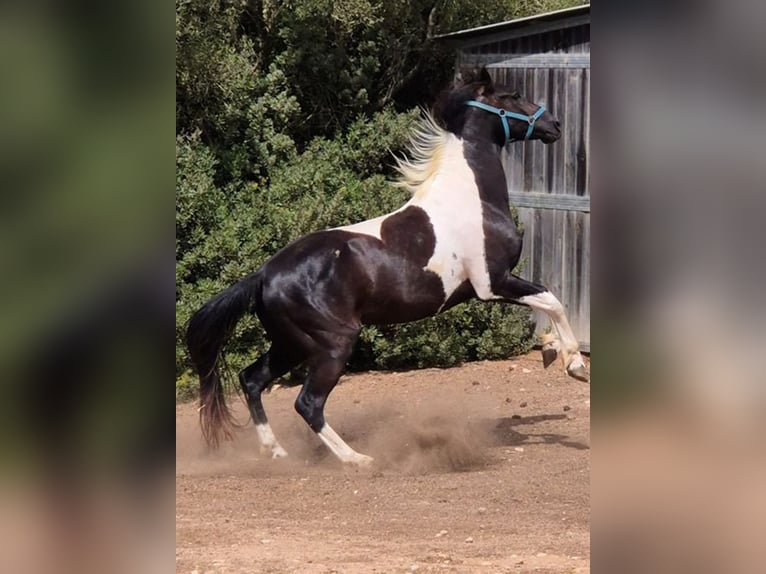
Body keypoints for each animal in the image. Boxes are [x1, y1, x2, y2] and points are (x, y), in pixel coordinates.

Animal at [185, 67, 588, 467]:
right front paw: (573, 364)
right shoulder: (493, 283)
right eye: (513, 95)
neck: (472, 200)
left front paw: (552, 351)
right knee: (307, 403)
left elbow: (549, 304)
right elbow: (552, 300)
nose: (553, 124)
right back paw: (358, 460)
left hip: (290, 343)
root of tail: (264, 275)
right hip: (333, 343)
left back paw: (277, 452)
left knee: (252, 379)